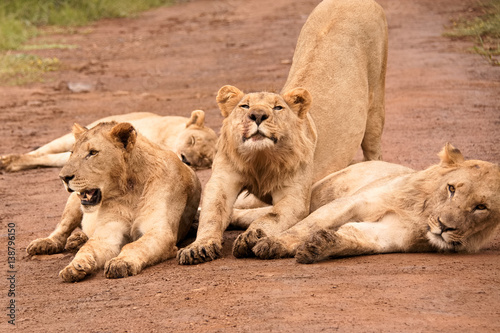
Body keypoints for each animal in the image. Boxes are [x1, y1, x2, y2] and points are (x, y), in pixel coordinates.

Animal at [25, 120, 201, 282]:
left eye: (92, 152)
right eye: (71, 152)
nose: (63, 177)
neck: (130, 191)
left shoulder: (160, 231)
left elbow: (135, 245)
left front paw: (120, 263)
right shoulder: (108, 231)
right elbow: (88, 248)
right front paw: (74, 266)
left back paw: (77, 239)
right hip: (73, 202)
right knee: (62, 229)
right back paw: (46, 243)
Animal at [178, 0, 388, 264]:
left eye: (278, 107)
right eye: (244, 106)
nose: (258, 115)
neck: (259, 160)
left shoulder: (294, 198)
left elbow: (272, 216)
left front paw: (252, 236)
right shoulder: (222, 181)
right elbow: (212, 215)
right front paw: (198, 246)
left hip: (376, 104)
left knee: (374, 149)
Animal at [252, 144, 500, 264]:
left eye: (481, 207)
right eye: (451, 188)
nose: (444, 226)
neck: (420, 213)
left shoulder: (394, 234)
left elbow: (356, 239)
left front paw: (321, 246)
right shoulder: (353, 201)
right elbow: (306, 225)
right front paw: (272, 244)